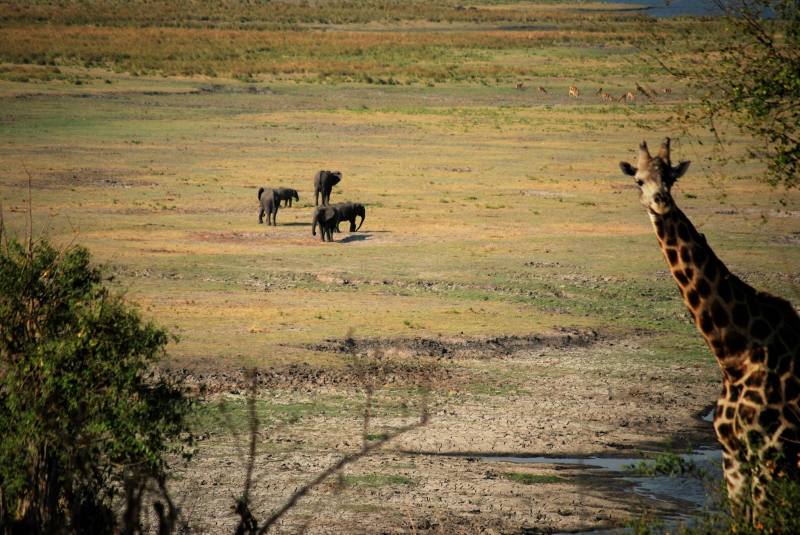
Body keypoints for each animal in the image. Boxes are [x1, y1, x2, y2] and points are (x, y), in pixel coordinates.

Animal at [620, 138, 800, 523]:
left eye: (671, 178)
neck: (734, 353)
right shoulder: (733, 456)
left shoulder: (770, 453)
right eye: (638, 180)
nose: (661, 201)